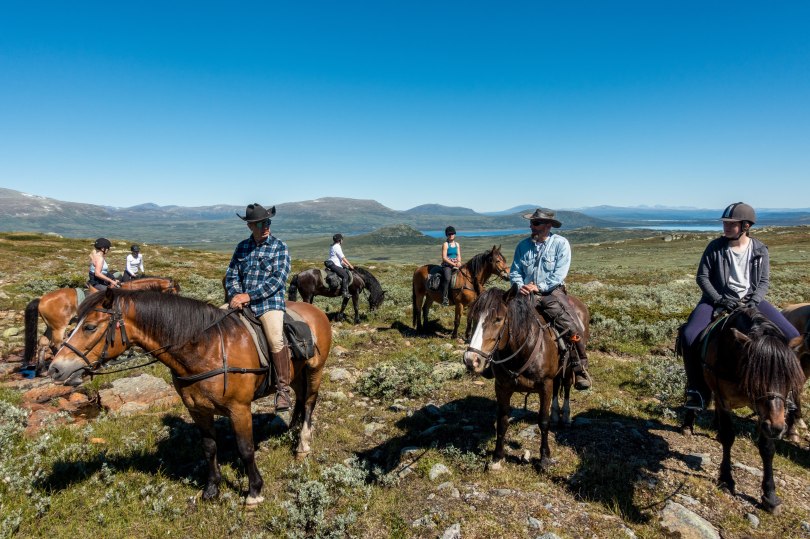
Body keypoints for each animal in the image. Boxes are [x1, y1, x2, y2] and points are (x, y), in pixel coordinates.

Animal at [23, 276, 180, 372]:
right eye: (175, 292)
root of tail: (42, 299)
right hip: (58, 327)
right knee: (55, 344)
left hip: (51, 326)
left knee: (43, 342)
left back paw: (41, 368)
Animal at [47, 288, 331, 506]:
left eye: (90, 327)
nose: (55, 369)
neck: (207, 349)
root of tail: (316, 311)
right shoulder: (198, 410)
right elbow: (209, 448)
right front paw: (212, 489)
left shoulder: (239, 409)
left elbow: (246, 448)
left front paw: (254, 491)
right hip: (295, 373)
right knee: (298, 397)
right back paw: (291, 428)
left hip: (314, 370)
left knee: (309, 402)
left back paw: (303, 444)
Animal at [463, 287, 590, 470]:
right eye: (473, 318)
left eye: (498, 319)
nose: (471, 360)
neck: (523, 350)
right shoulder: (502, 387)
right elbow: (502, 421)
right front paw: (497, 457)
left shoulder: (545, 385)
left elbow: (543, 421)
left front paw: (544, 458)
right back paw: (556, 415)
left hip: (568, 367)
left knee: (566, 386)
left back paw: (565, 416)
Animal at [680, 307, 805, 513]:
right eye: (756, 378)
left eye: (789, 379)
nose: (777, 428)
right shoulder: (724, 400)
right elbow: (728, 437)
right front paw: (726, 480)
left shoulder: (765, 414)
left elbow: (767, 448)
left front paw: (770, 495)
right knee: (694, 388)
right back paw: (687, 425)